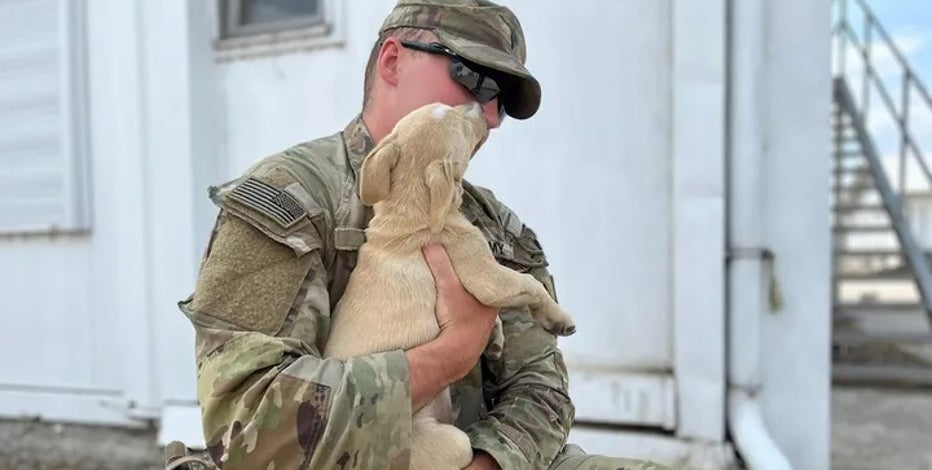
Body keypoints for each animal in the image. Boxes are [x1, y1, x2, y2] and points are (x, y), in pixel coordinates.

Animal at [324, 102, 580, 470]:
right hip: (451, 442)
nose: (480, 107)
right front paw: (558, 318)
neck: (411, 212)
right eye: (459, 120)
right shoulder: (486, 275)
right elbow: (530, 284)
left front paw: (496, 339)